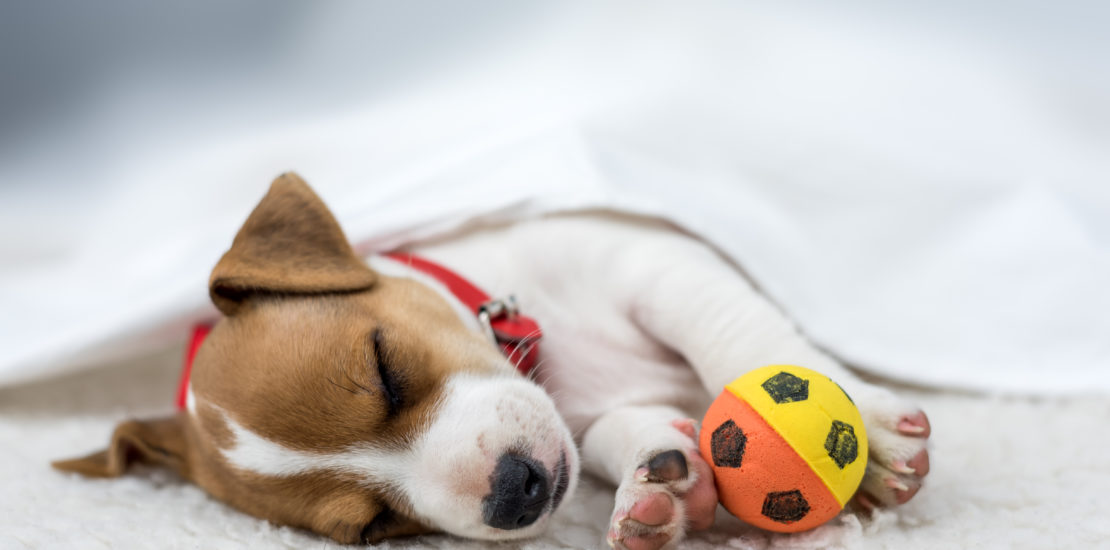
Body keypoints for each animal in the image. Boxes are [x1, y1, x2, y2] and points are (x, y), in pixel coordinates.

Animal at [56, 174, 932, 548]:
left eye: (384, 367)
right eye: (375, 530)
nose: (516, 493)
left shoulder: (656, 261)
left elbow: (738, 334)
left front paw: (864, 429)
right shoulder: (591, 417)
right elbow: (619, 433)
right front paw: (661, 482)